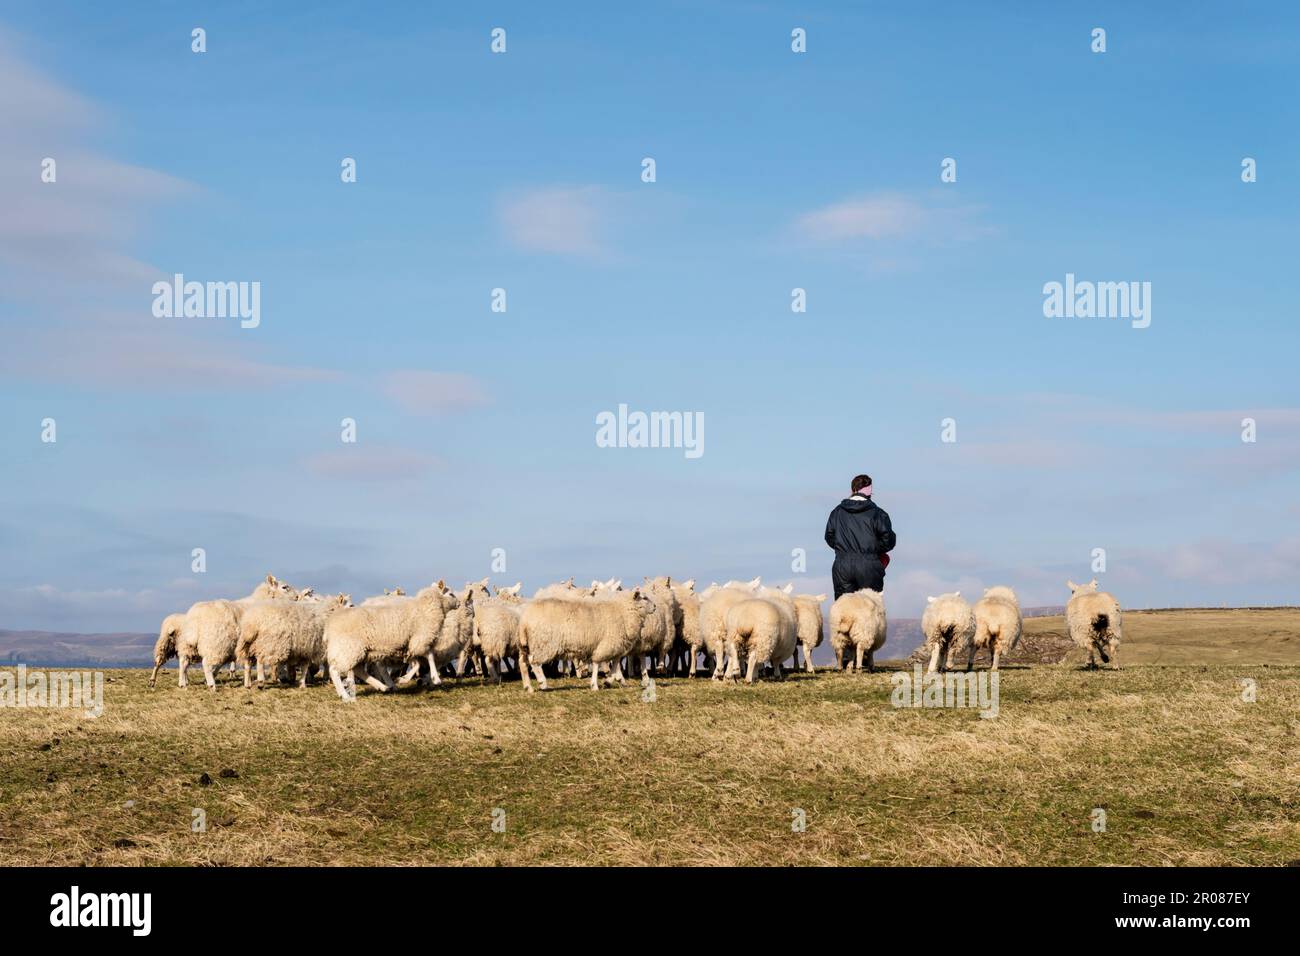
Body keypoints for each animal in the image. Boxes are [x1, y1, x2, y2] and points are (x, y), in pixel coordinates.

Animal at [324, 583, 466, 701]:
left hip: (360, 651)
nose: (459, 604)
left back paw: (383, 687)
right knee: (334, 670)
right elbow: (428, 658)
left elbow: (417, 664)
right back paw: (345, 695)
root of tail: (331, 624)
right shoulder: (420, 640)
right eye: (451, 594)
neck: (425, 608)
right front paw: (435, 679)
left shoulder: (411, 645)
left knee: (360, 670)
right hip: (349, 648)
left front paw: (403, 679)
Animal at [516, 587, 657, 692]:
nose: (655, 606)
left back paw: (528, 687)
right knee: (534, 662)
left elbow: (615, 662)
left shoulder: (614, 644)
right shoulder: (606, 644)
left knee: (522, 662)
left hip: (527, 644)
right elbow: (597, 663)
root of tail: (524, 619)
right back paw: (542, 682)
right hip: (543, 643)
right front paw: (595, 685)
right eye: (644, 598)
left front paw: (608, 681)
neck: (623, 611)